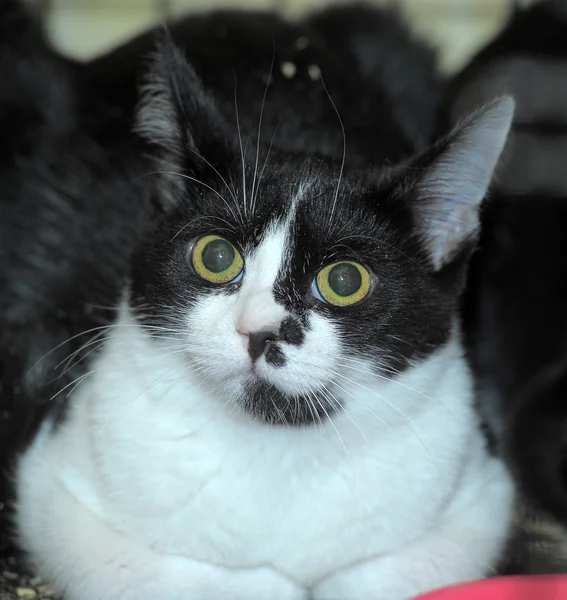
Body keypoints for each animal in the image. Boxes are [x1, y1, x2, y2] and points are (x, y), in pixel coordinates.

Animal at [7, 4, 516, 600]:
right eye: (215, 255)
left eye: (345, 280)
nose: (259, 330)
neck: (276, 443)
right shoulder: (53, 483)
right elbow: (165, 571)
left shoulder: (478, 491)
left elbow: (397, 568)